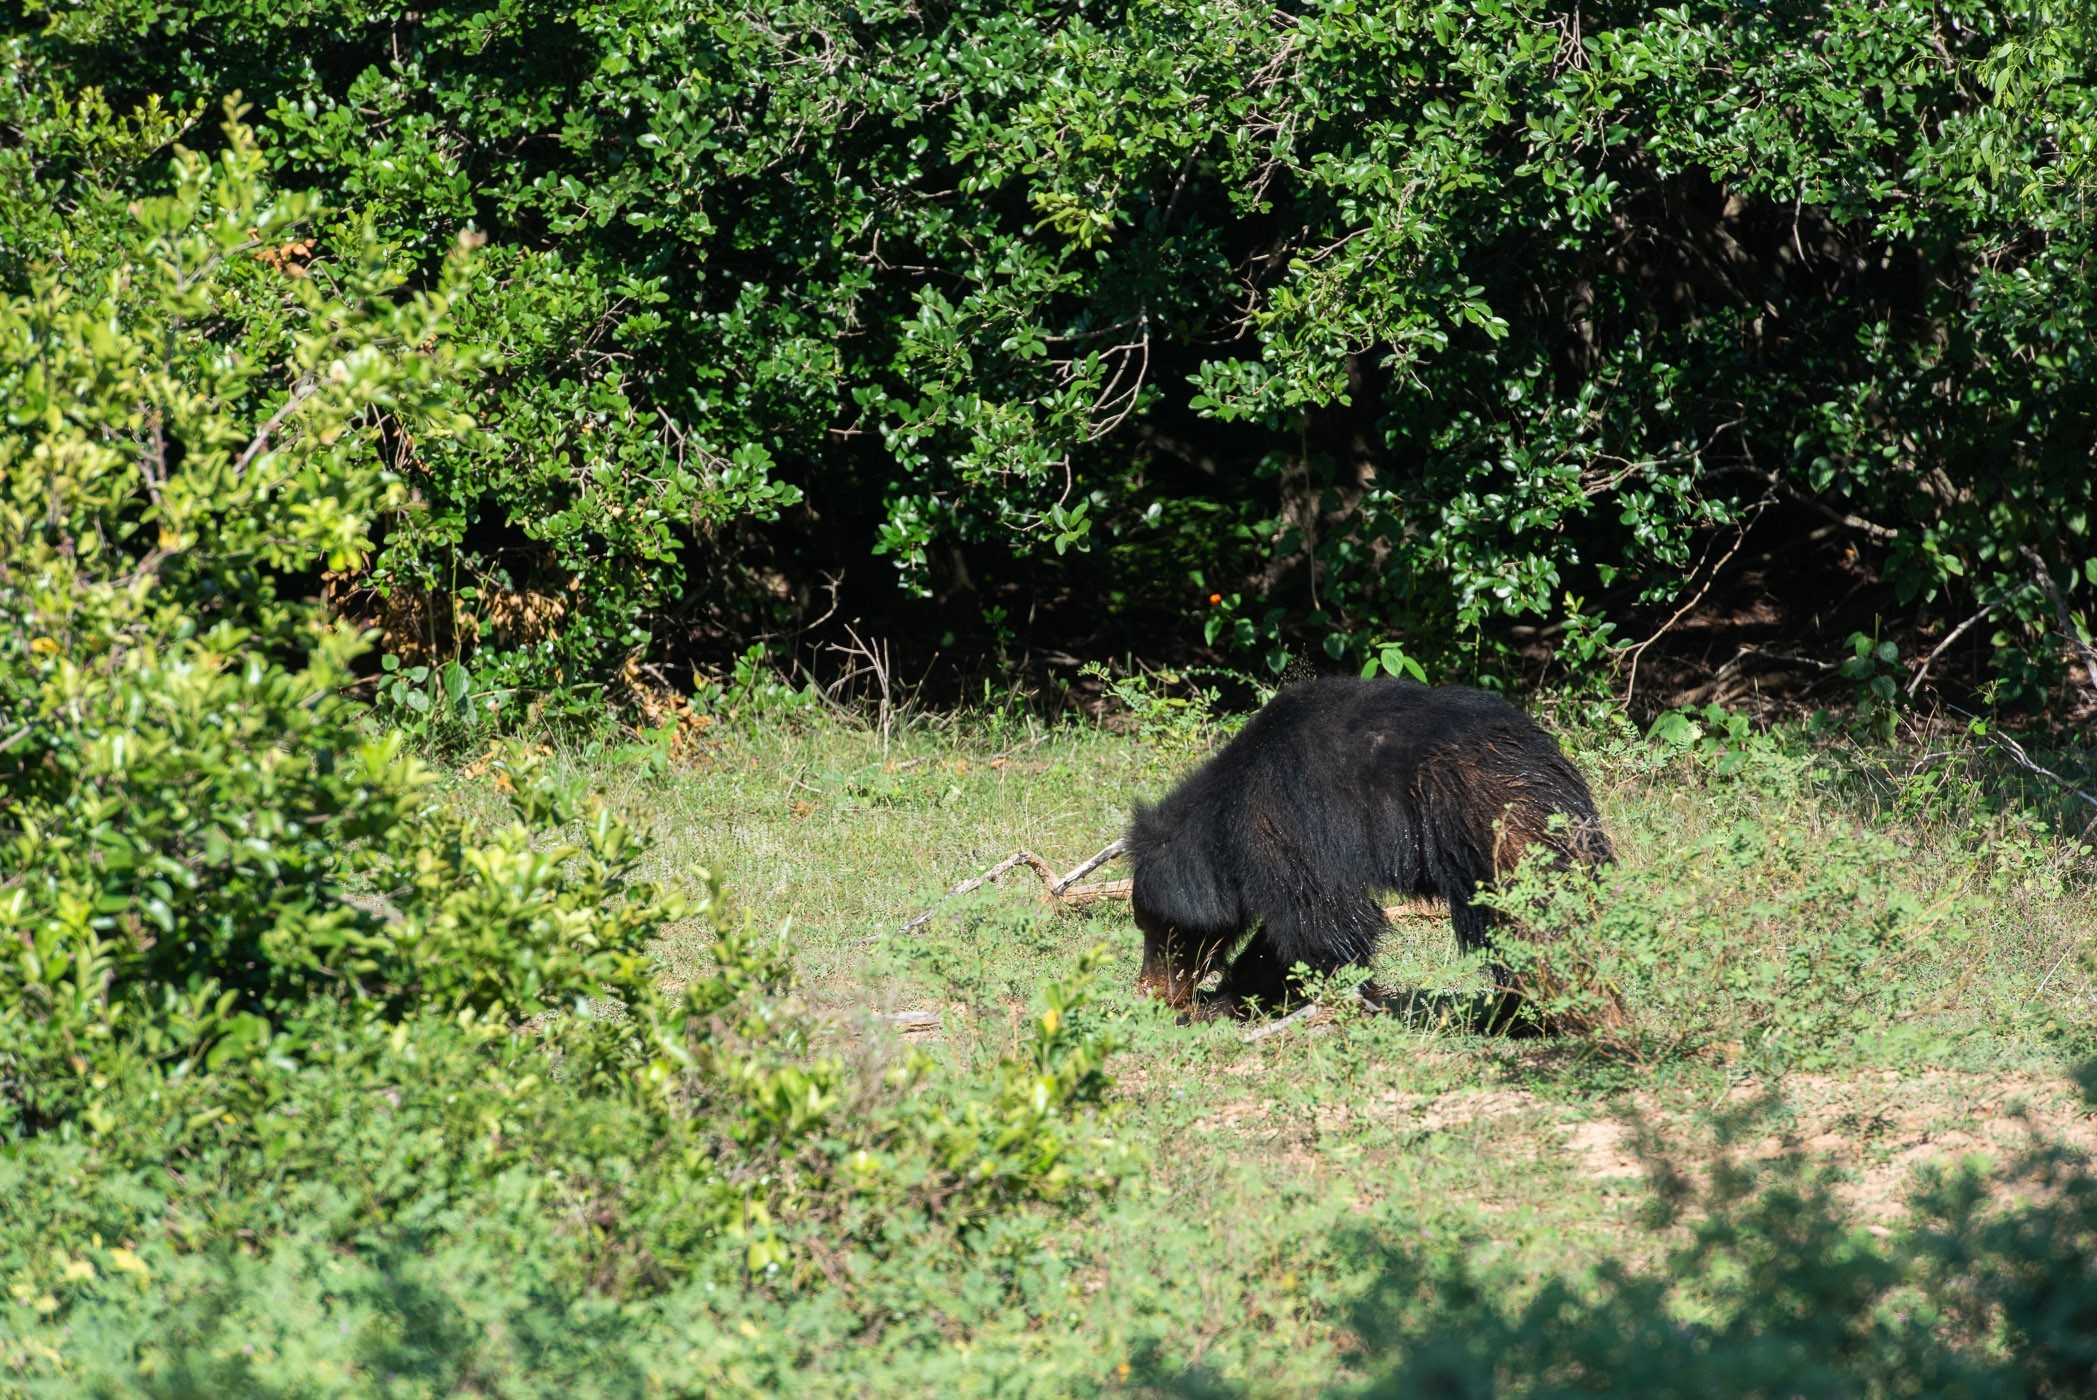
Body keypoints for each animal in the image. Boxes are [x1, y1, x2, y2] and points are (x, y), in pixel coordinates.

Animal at [1124, 676, 1614, 1026]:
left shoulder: (1284, 820)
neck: (1224, 816)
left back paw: (1526, 1015)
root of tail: (1549, 763)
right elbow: (1289, 936)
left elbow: (1321, 918)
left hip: (1493, 826)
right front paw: (1230, 1000)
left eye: (1161, 930)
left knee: (1525, 922)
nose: (1150, 993)